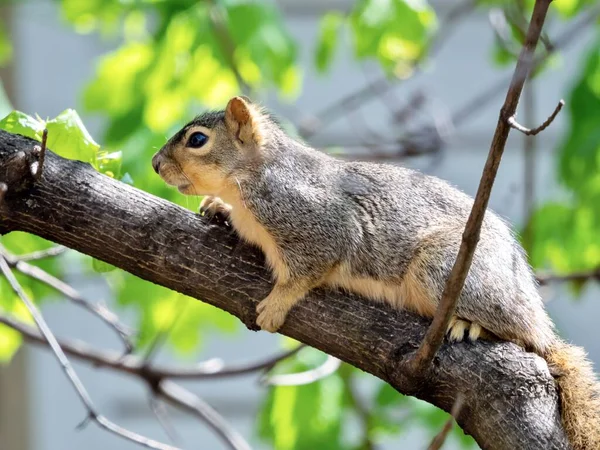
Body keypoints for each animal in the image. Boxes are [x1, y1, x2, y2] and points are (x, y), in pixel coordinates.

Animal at [154, 96, 600, 450]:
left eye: (198, 140)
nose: (156, 164)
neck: (252, 175)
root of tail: (534, 310)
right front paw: (217, 208)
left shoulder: (318, 223)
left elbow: (307, 272)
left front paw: (276, 304)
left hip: (444, 270)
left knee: (520, 334)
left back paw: (471, 324)